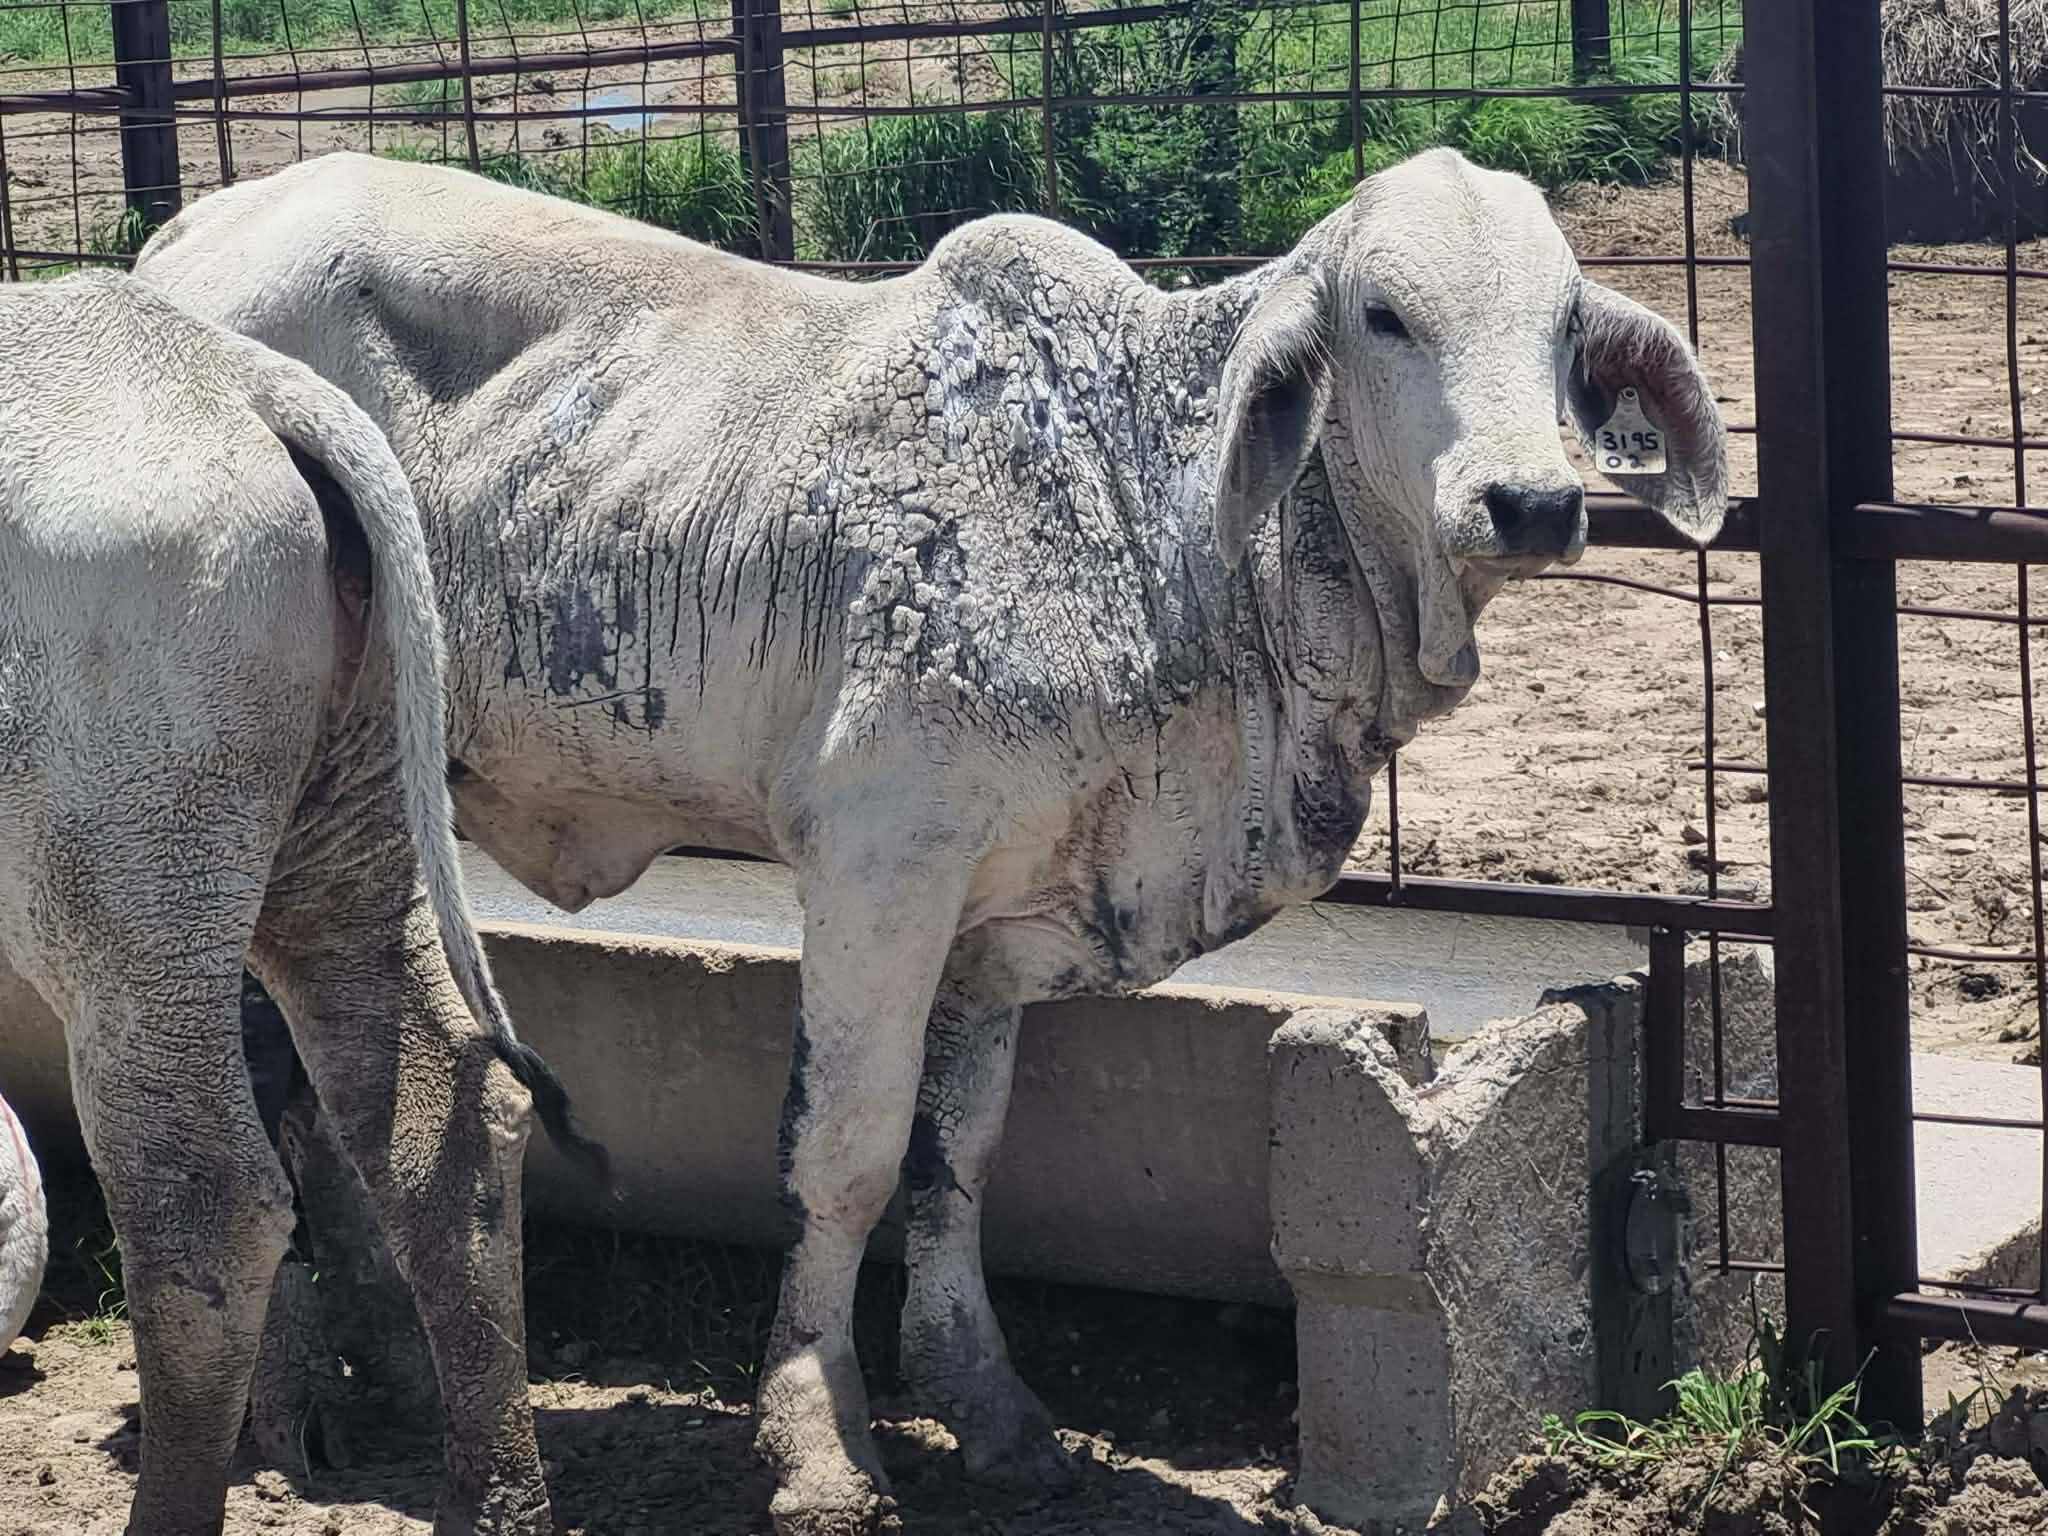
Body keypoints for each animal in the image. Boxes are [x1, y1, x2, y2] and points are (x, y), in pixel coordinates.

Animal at [0, 272, 599, 1536]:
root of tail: (251, 388)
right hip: (363, 723)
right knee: (425, 1080)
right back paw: (494, 1502)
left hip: (130, 748)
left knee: (200, 1178)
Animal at [138, 145, 1727, 1534]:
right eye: (1386, 315)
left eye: (1565, 323)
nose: (1532, 502)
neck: (1152, 517)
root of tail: (181, 244)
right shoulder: (881, 857)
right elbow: (842, 1151)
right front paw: (818, 1441)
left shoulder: (1001, 912)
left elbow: (953, 1155)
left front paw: (995, 1416)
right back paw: (293, 1407)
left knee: (327, 1088)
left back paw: (386, 1375)